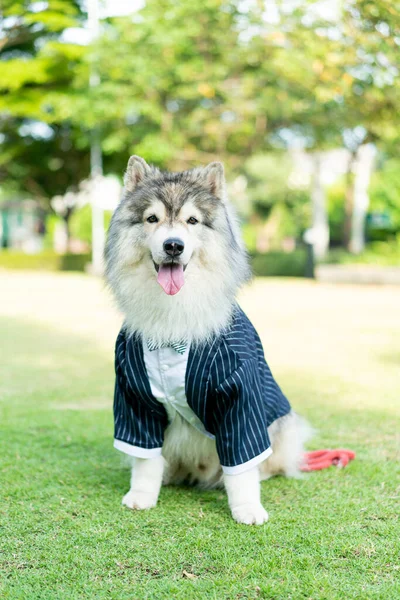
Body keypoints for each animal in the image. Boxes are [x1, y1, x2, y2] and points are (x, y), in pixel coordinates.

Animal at [106, 156, 312, 524]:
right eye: (152, 218)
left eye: (192, 220)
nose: (174, 245)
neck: (175, 313)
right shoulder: (134, 398)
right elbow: (145, 460)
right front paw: (142, 496)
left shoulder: (239, 397)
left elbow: (242, 466)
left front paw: (247, 508)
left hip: (283, 426)